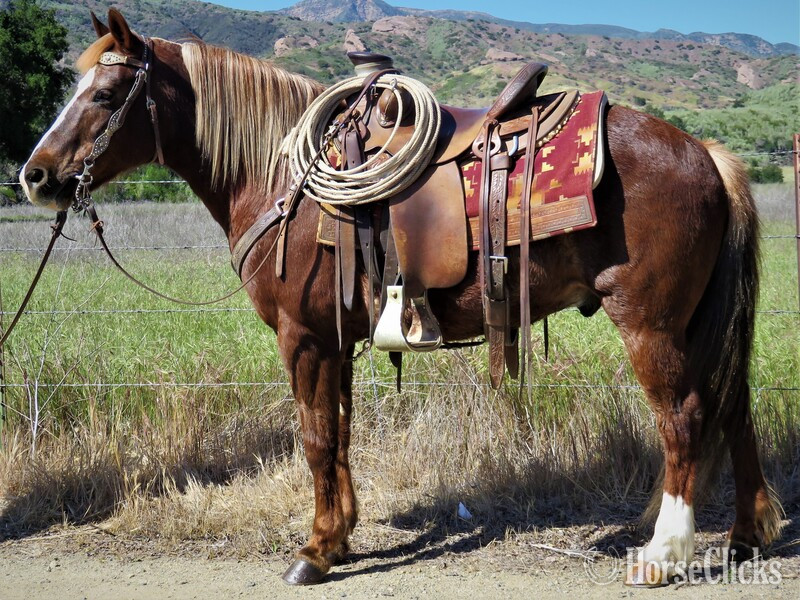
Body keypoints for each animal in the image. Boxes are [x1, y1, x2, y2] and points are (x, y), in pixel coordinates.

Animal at [18, 9, 782, 586]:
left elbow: (315, 438)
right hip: (696, 324)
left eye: (104, 96)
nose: (35, 175)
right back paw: (747, 534)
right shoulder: (333, 340)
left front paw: (314, 552)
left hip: (651, 326)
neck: (280, 180)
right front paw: (339, 536)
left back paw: (664, 553)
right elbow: (339, 434)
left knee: (684, 418)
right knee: (732, 405)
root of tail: (704, 152)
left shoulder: (302, 337)